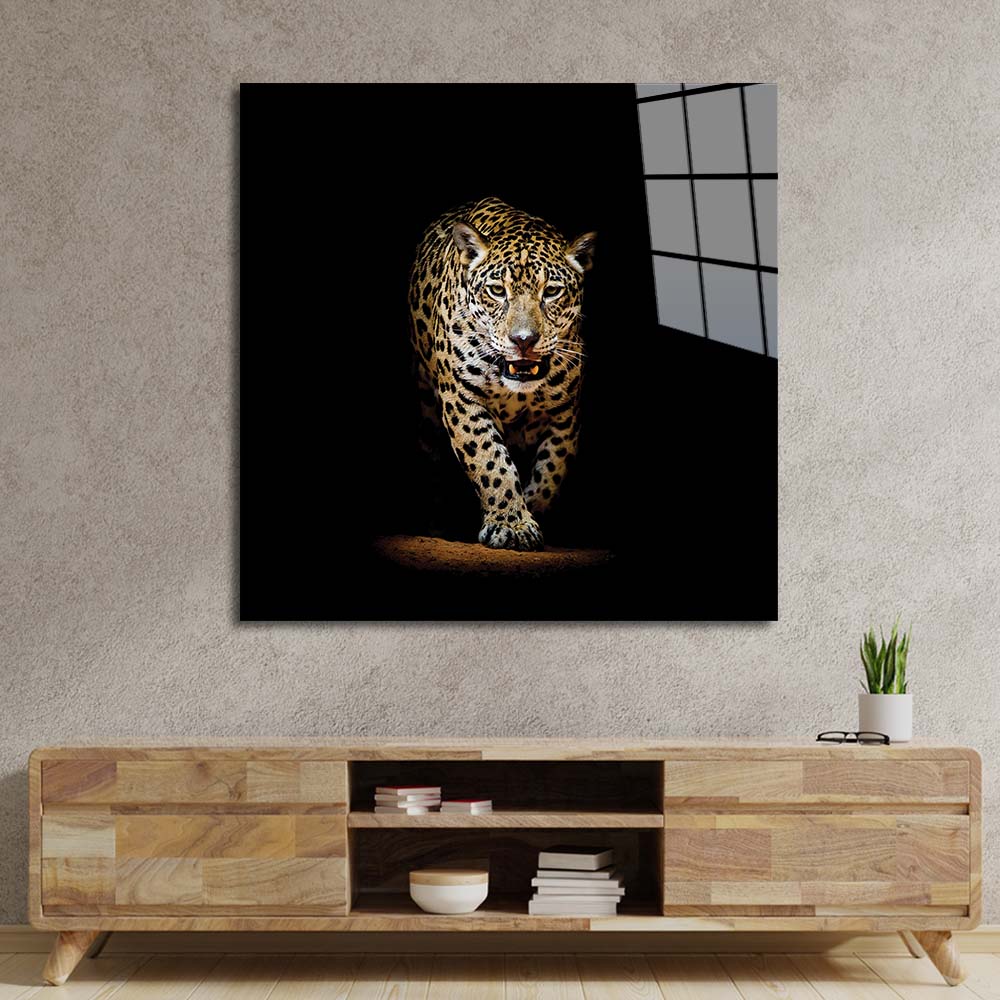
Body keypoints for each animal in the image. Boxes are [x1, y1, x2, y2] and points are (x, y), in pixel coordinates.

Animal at [408, 196, 596, 551]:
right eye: (496, 290)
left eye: (551, 291)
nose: (523, 340)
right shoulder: (463, 400)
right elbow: (490, 461)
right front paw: (512, 524)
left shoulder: (565, 413)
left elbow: (552, 469)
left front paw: (530, 511)